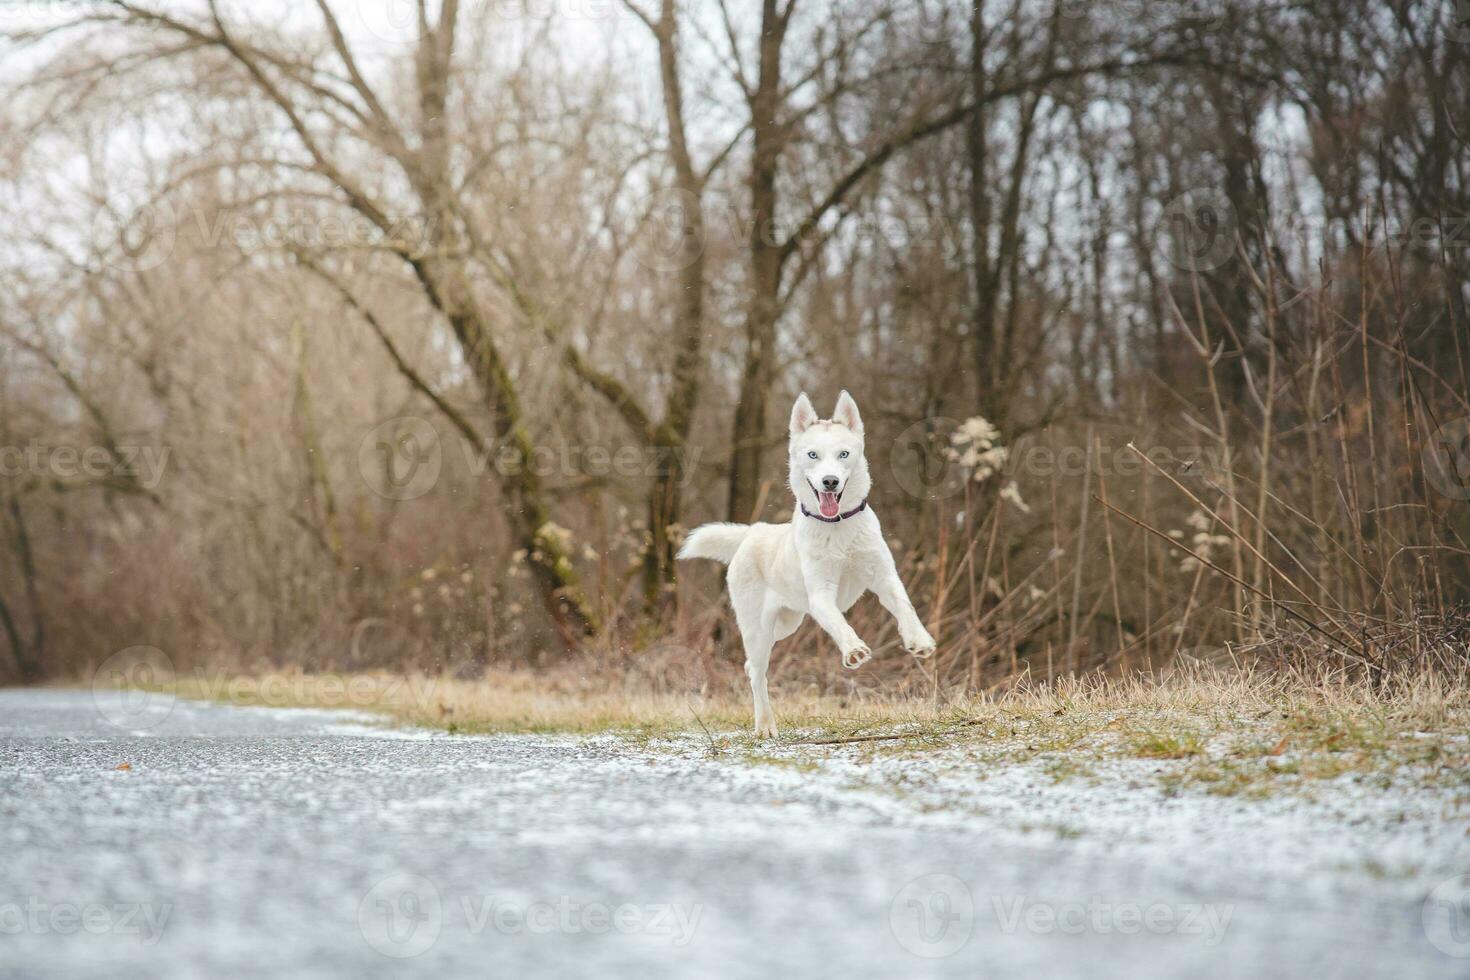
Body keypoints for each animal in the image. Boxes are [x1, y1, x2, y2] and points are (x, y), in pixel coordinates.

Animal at [679, 390, 934, 734]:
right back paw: (765, 725)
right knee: (757, 673)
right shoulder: (821, 596)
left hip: (788, 624)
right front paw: (853, 650)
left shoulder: (884, 578)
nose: (830, 481)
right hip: (758, 629)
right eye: (813, 455)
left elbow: (906, 607)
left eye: (843, 454)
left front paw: (918, 639)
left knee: (750, 665)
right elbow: (838, 622)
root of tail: (752, 533)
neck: (838, 527)